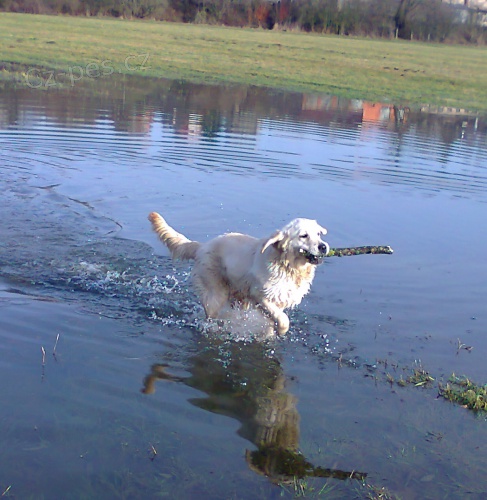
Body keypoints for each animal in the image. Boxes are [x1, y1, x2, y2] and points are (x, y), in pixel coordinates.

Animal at [148, 213, 329, 334]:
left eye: (318, 234)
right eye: (303, 236)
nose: (323, 246)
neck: (287, 265)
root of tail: (202, 246)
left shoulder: (277, 299)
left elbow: (274, 320)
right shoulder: (260, 295)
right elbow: (284, 320)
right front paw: (280, 332)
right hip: (216, 292)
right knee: (211, 314)